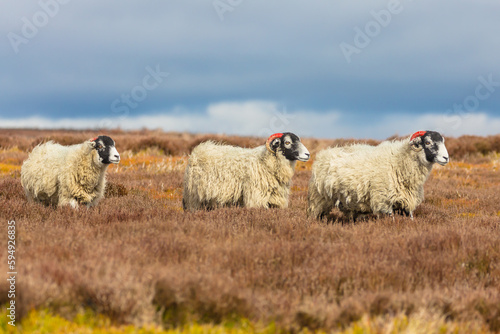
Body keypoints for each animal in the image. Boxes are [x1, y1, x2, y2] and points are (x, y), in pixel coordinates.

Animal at [306, 131, 452, 222]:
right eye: (427, 142)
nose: (446, 158)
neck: (399, 161)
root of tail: (322, 154)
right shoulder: (384, 202)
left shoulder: (406, 203)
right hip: (319, 199)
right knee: (316, 215)